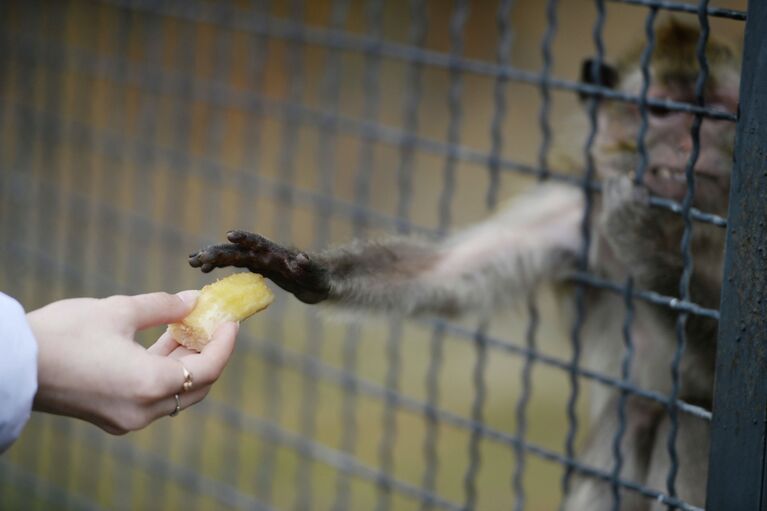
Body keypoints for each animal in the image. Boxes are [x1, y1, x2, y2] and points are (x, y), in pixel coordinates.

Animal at [188, 20, 744, 511]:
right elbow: (443, 274)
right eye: (662, 111)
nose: (687, 148)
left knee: (683, 416)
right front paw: (297, 269)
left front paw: (649, 244)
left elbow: (722, 383)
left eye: (717, 116)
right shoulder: (575, 212)